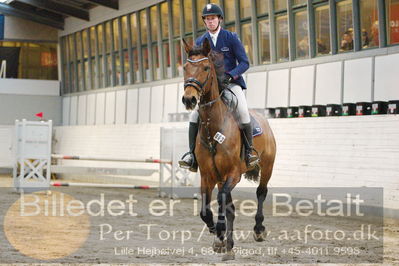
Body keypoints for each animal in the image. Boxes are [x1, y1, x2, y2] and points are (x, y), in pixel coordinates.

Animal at [183, 38, 276, 260]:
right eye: (184, 67)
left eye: (206, 67)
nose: (189, 99)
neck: (213, 128)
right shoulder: (208, 175)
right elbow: (206, 208)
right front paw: (217, 236)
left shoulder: (234, 173)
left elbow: (221, 200)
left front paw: (219, 232)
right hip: (220, 177)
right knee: (230, 206)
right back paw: (229, 244)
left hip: (267, 166)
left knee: (261, 192)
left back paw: (258, 230)